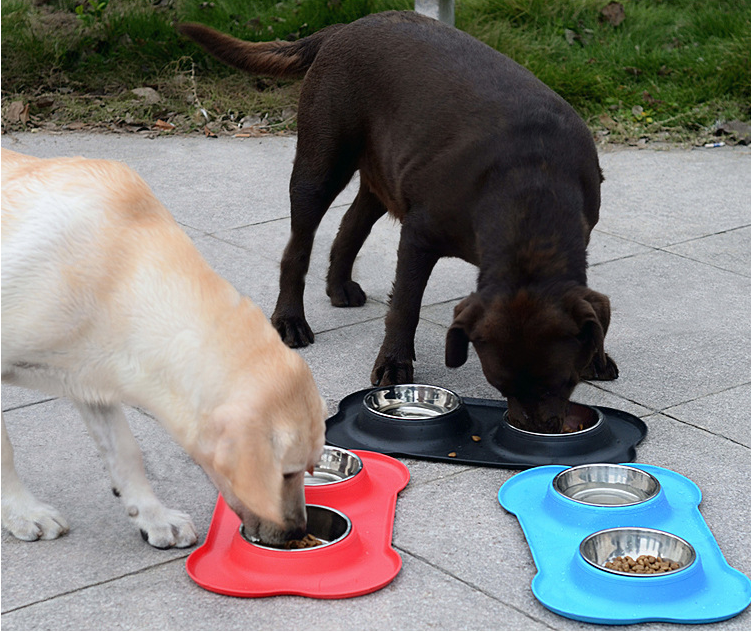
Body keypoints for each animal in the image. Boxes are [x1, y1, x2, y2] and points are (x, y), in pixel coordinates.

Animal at [179, 11, 620, 434]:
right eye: (500, 385)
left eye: (565, 382)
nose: (536, 429)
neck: (532, 192)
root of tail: (343, 28)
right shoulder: (419, 236)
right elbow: (405, 305)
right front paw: (394, 365)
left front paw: (597, 356)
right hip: (321, 164)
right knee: (297, 248)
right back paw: (290, 320)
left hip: (383, 175)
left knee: (350, 226)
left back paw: (339, 286)